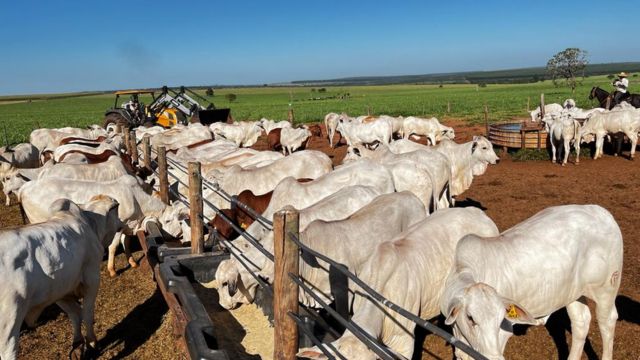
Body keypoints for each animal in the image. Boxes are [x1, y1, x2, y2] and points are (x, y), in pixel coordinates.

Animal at [0, 197, 122, 360]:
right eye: (116, 211)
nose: (122, 223)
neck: (91, 224)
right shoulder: (92, 279)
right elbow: (87, 314)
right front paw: (91, 343)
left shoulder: (60, 290)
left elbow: (75, 314)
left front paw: (77, 345)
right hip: (9, 322)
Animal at [440, 205, 620, 360]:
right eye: (470, 318)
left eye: (501, 319)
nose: (493, 357)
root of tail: (602, 212)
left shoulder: (504, 333)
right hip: (573, 293)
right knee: (581, 322)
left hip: (606, 288)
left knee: (607, 321)